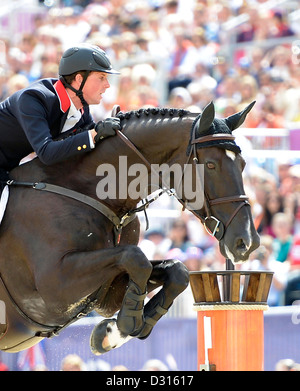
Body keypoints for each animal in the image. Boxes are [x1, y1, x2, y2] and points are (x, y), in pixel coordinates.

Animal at [0, 101, 258, 356]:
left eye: (243, 164)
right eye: (211, 164)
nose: (247, 242)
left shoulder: (104, 293)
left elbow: (176, 271)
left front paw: (112, 333)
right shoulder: (55, 290)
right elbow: (136, 258)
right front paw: (125, 324)